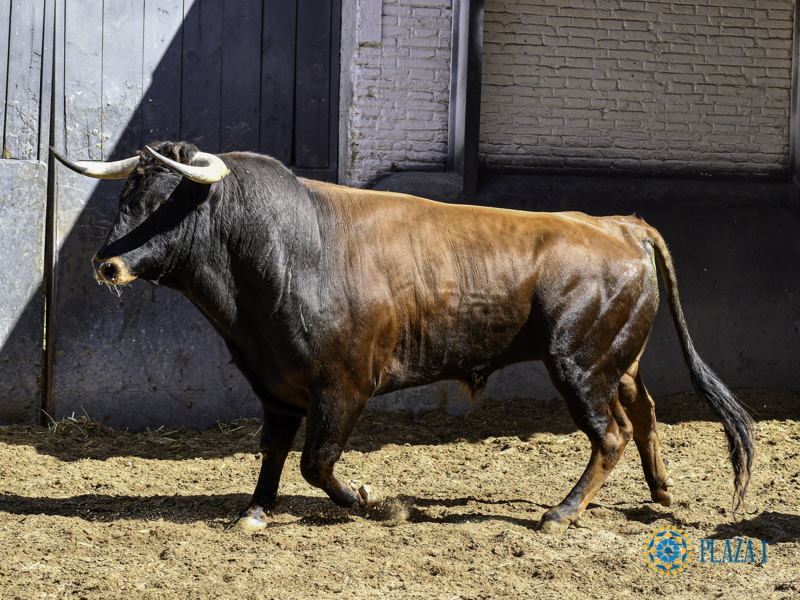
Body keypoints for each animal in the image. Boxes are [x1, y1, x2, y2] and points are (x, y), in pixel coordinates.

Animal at [52, 142, 754, 533]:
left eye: (169, 200)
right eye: (129, 193)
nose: (107, 265)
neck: (286, 250)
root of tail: (618, 223)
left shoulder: (344, 389)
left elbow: (316, 462)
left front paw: (374, 500)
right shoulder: (274, 385)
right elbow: (274, 451)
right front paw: (255, 510)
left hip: (578, 367)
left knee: (609, 435)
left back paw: (560, 514)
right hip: (614, 363)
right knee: (645, 413)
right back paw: (660, 492)